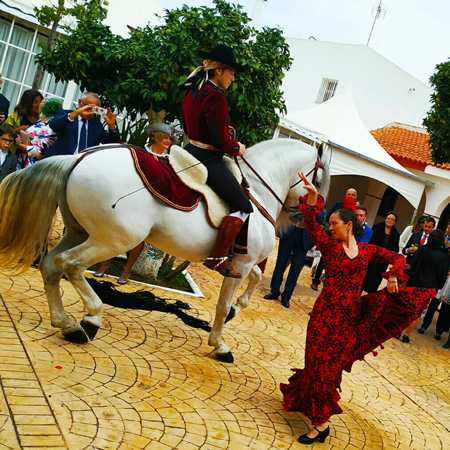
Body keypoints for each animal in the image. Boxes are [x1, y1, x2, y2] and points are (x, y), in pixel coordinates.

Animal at [0, 140, 328, 362]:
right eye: (321, 179)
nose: (311, 217)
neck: (258, 192)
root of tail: (79, 157)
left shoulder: (245, 264)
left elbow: (257, 280)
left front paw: (237, 310)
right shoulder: (241, 264)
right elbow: (224, 305)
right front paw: (220, 343)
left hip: (78, 231)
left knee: (50, 266)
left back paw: (67, 325)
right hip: (113, 239)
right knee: (69, 264)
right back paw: (90, 319)